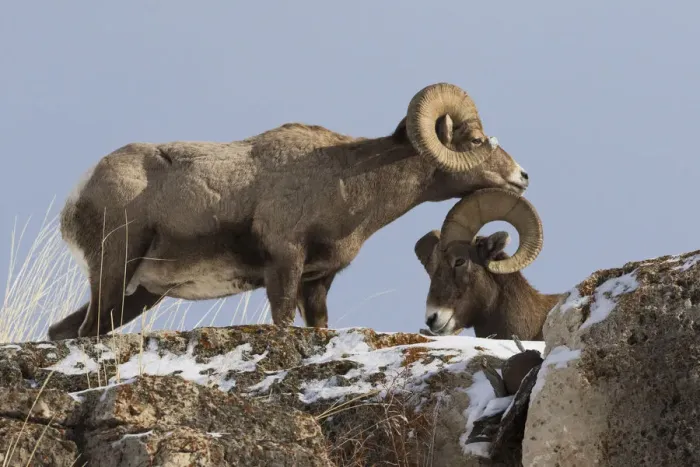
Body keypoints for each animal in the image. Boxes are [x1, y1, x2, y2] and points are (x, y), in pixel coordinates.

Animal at [47, 82, 532, 341]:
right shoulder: (284, 265)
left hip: (139, 295)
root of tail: (79, 193)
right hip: (114, 269)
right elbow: (281, 320)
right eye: (476, 141)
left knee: (64, 333)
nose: (522, 176)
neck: (349, 183)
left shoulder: (317, 282)